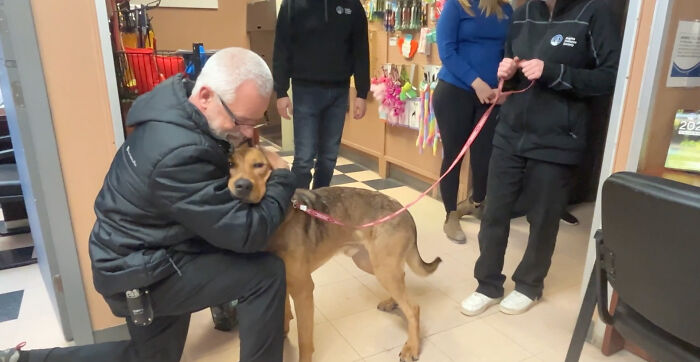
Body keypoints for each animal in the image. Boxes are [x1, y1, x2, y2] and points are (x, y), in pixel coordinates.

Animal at [227, 146, 440, 360]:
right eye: (231, 165)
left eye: (259, 165)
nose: (241, 186)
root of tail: (403, 210)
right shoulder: (283, 281)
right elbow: (284, 312)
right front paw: (282, 334)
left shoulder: (304, 290)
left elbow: (305, 341)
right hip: (371, 263)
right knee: (402, 280)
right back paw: (392, 302)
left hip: (383, 268)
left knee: (413, 308)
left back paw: (412, 346)